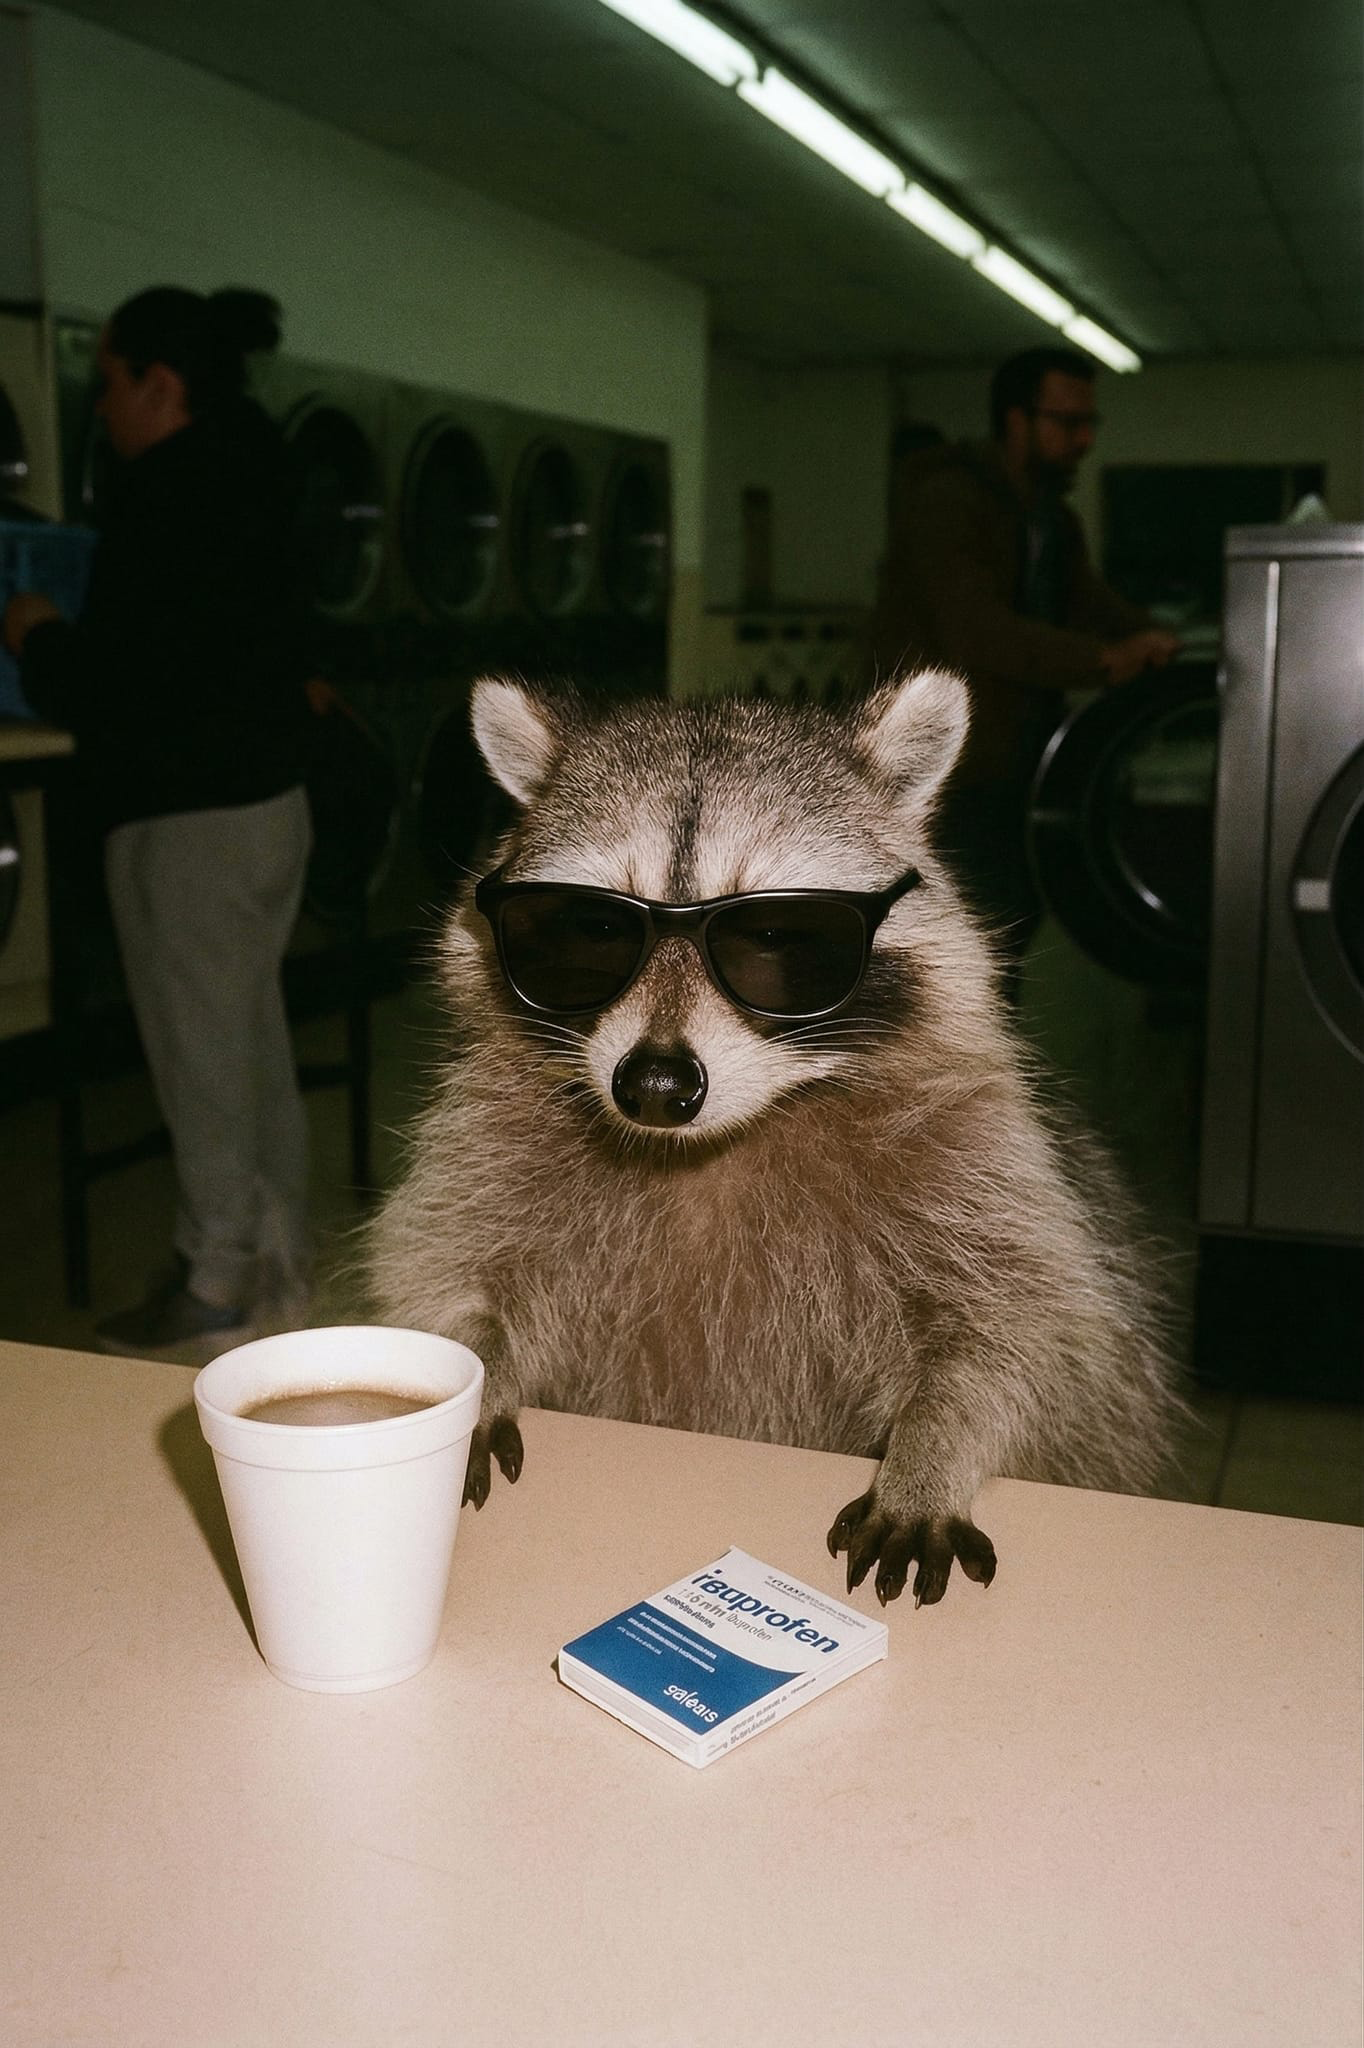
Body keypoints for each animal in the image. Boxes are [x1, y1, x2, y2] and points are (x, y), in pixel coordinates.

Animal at [369, 670, 1183, 1605]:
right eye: (591, 930)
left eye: (775, 937)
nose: (655, 1087)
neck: (710, 1144)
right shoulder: (486, 1145)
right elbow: (441, 1275)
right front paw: (466, 1378)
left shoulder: (988, 1162)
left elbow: (1032, 1336)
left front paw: (932, 1453)